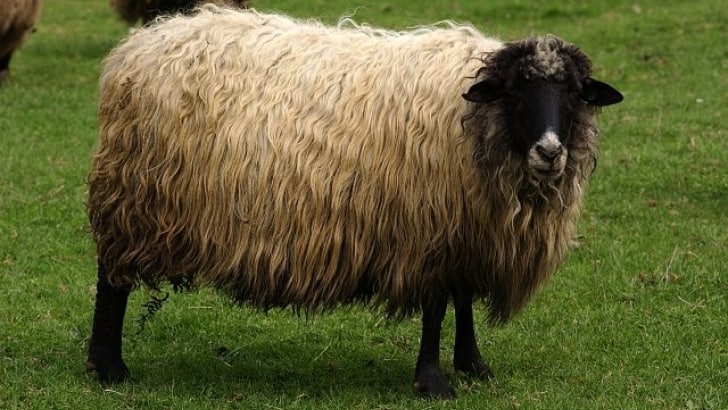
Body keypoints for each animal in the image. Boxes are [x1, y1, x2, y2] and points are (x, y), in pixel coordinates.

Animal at [85, 4, 620, 398]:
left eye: (575, 93)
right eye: (515, 90)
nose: (550, 151)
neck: (478, 121)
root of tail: (140, 44)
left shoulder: (468, 228)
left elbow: (463, 299)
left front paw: (473, 364)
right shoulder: (427, 226)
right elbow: (435, 307)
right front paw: (432, 382)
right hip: (134, 196)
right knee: (112, 282)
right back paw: (108, 367)